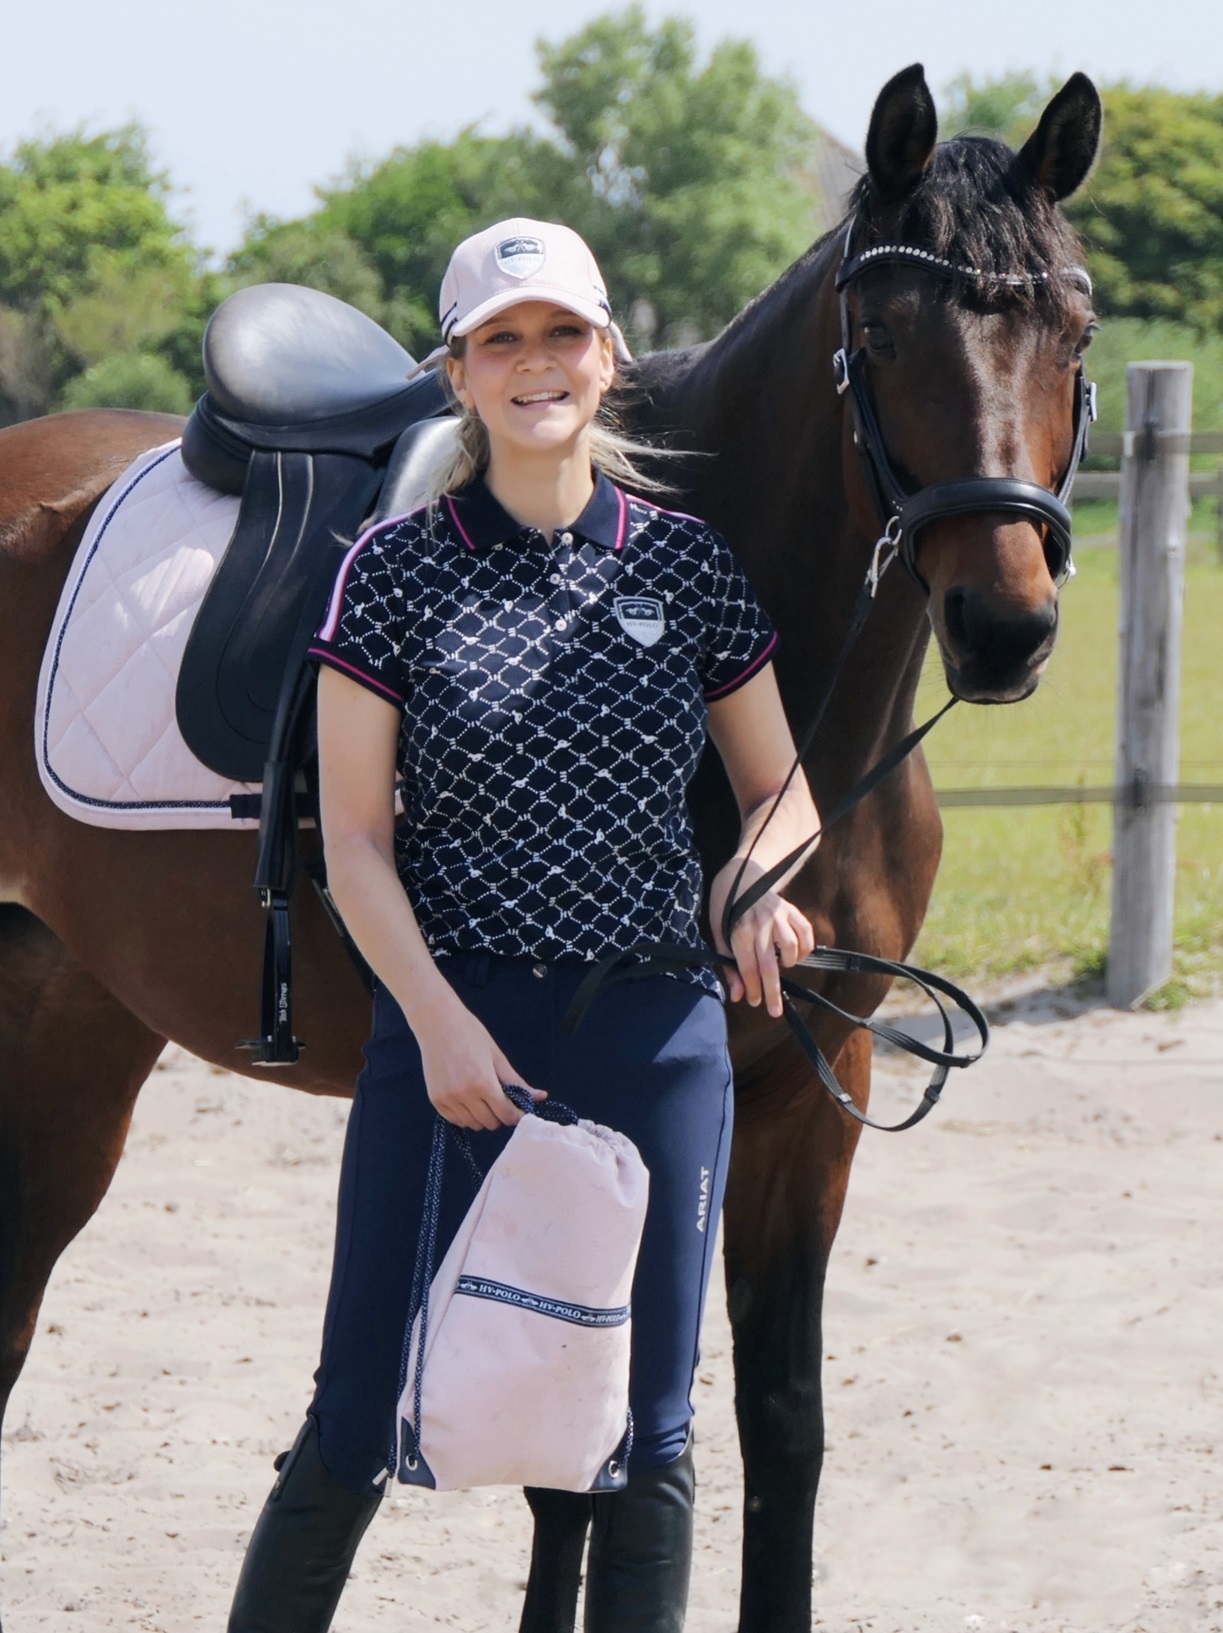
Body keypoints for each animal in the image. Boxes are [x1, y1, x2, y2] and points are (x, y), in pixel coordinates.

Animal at [0, 63, 1103, 1633]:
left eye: (1071, 329)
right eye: (884, 333)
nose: (1004, 627)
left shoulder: (807, 1089)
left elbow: (774, 1423)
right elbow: (563, 1465)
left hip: (73, 1023)